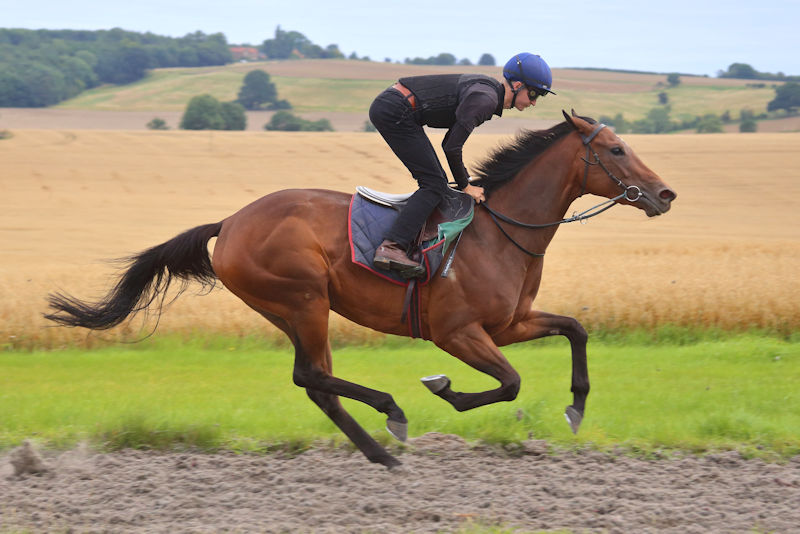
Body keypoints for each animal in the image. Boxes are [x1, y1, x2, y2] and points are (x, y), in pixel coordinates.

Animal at [46, 111, 676, 468]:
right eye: (616, 150)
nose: (665, 194)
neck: (502, 232)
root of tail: (229, 223)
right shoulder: (457, 333)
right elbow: (511, 383)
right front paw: (444, 389)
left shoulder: (509, 324)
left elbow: (576, 329)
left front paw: (575, 406)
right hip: (304, 299)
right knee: (311, 375)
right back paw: (391, 414)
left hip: (295, 308)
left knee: (315, 383)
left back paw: (379, 452)